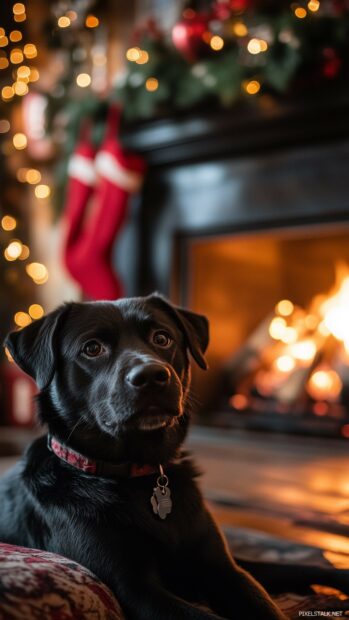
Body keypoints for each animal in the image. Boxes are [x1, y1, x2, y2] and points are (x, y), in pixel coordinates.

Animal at [0, 296, 288, 620]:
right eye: (92, 348)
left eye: (162, 338)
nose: (151, 376)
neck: (135, 477)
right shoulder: (135, 590)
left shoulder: (225, 568)